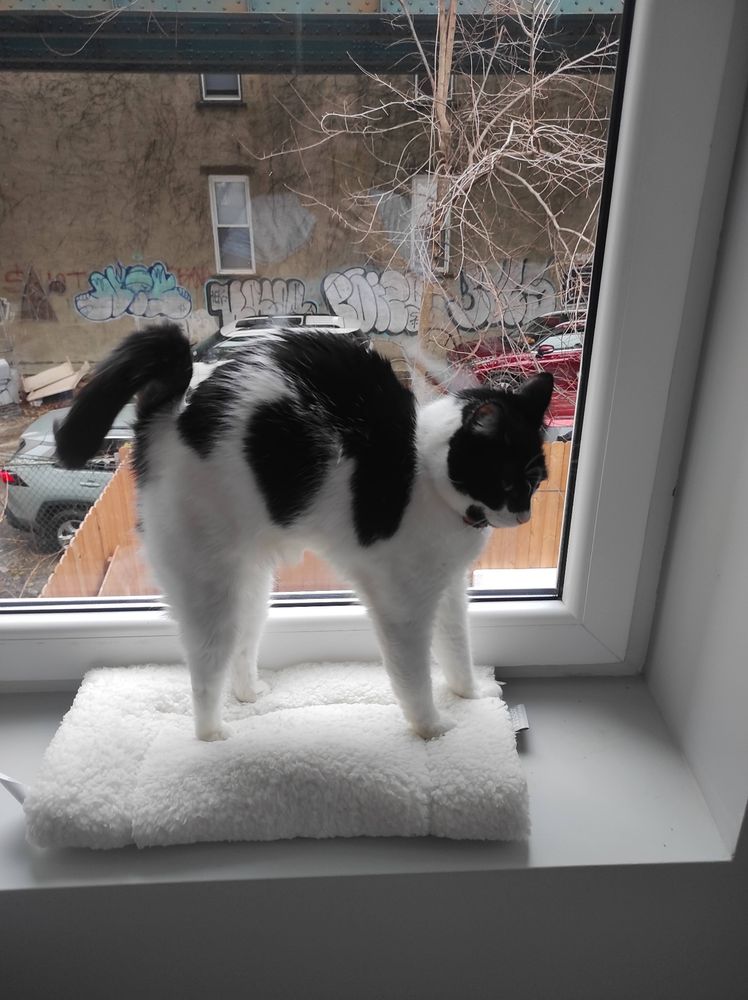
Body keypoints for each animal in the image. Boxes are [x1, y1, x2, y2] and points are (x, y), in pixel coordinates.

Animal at [55, 322, 553, 742]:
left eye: (535, 482)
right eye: (510, 482)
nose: (524, 516)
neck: (425, 472)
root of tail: (171, 410)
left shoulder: (448, 589)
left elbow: (457, 650)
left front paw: (471, 696)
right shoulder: (403, 605)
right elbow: (413, 675)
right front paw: (431, 729)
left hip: (251, 585)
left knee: (242, 646)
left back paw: (250, 697)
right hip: (207, 586)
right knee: (204, 670)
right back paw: (213, 736)